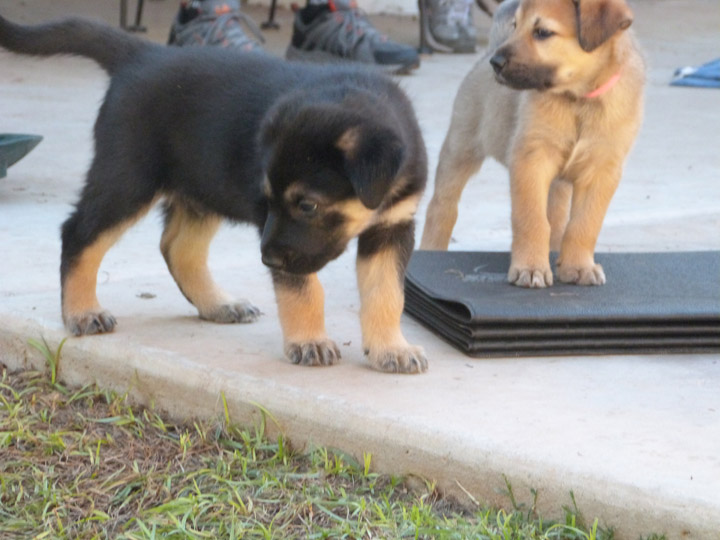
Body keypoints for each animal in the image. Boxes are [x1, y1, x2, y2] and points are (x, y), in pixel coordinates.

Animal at [0, 14, 428, 374]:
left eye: (308, 204)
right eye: (268, 199)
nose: (267, 260)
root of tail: (142, 55)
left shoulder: (392, 228)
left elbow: (386, 293)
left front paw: (391, 348)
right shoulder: (286, 243)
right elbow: (306, 289)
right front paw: (310, 341)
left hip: (200, 189)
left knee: (178, 248)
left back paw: (218, 304)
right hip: (128, 177)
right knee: (79, 233)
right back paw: (82, 311)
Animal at [420, 0, 644, 288]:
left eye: (543, 32)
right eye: (516, 25)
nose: (496, 63)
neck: (579, 101)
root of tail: (490, 47)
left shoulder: (602, 170)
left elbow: (584, 224)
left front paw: (578, 266)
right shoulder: (531, 159)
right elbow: (532, 219)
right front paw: (530, 267)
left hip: (557, 183)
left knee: (557, 218)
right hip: (460, 148)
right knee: (442, 206)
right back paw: (431, 249)